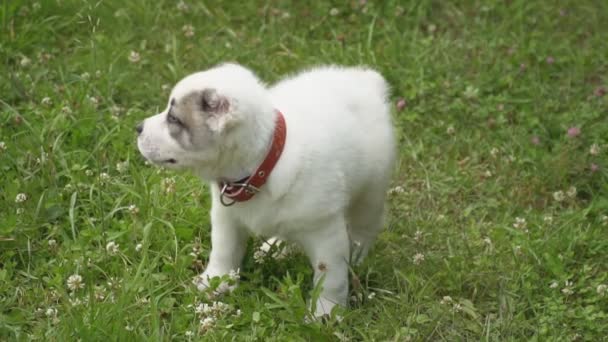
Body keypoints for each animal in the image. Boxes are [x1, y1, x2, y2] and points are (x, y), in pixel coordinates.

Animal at [135, 62, 396, 316]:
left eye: (174, 119)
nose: (138, 127)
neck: (263, 163)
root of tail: (366, 82)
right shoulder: (226, 216)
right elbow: (223, 250)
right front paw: (215, 281)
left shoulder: (325, 231)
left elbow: (330, 276)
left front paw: (326, 312)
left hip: (370, 192)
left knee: (364, 228)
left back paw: (356, 255)